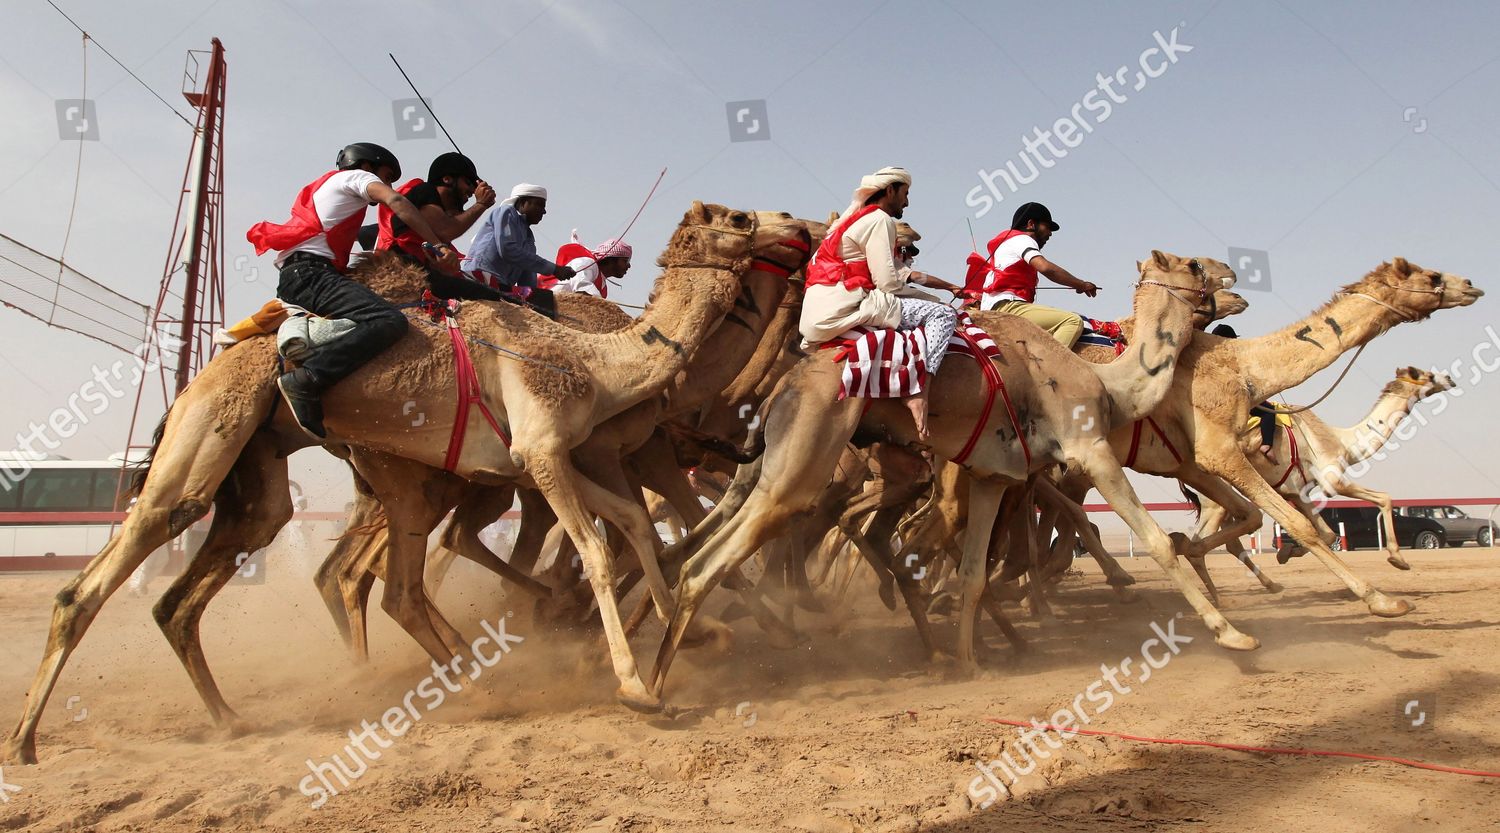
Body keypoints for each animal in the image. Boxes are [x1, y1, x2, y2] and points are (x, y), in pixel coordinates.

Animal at [2, 204, 810, 762]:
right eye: (740, 218)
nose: (798, 227)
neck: (595, 361)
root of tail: (211, 367)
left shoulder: (565, 458)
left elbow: (639, 526)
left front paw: (700, 632)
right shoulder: (549, 451)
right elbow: (602, 547)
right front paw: (639, 686)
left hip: (300, 473)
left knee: (272, 574)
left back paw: (245, 714)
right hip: (218, 435)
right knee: (122, 560)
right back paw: (26, 740)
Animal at [651, 250, 1236, 699]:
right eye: (1193, 263)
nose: (1230, 274)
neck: (1109, 386)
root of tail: (785, 384)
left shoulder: (994, 476)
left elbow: (974, 572)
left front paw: (968, 661)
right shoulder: (1088, 448)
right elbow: (1157, 541)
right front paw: (1231, 636)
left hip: (778, 459)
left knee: (711, 545)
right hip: (811, 447)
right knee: (725, 555)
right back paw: (657, 691)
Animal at [1182, 367, 1452, 597]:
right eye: (1428, 375)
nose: (1450, 378)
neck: (1342, 442)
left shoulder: (1297, 492)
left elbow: (1327, 533)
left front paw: (1285, 553)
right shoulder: (1333, 480)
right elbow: (1383, 498)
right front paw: (1398, 560)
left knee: (1225, 540)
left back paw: (1247, 591)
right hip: (1216, 498)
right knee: (1202, 541)